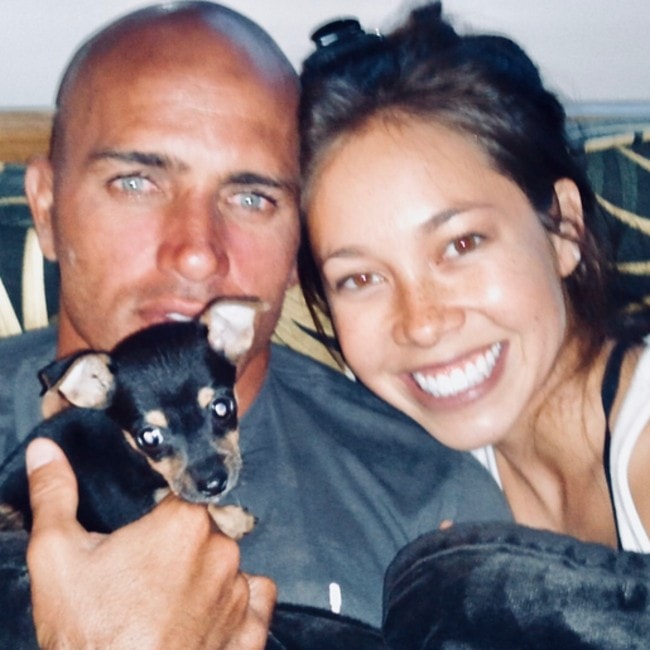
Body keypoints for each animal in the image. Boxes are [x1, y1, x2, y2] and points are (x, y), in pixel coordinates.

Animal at [0, 298, 264, 536]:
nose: (213, 484)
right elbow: (204, 507)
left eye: (222, 407)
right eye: (149, 437)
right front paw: (233, 520)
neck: (132, 455)